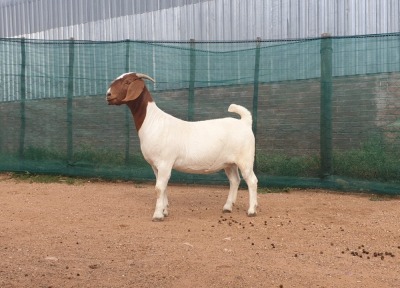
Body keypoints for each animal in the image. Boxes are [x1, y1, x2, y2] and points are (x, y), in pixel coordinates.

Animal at [104, 72, 258, 220]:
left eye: (127, 82)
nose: (108, 95)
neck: (153, 121)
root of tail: (245, 122)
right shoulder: (155, 165)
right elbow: (163, 188)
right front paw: (165, 211)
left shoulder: (165, 162)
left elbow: (159, 188)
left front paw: (158, 215)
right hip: (229, 163)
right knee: (235, 180)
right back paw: (228, 207)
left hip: (245, 159)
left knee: (251, 180)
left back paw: (251, 210)